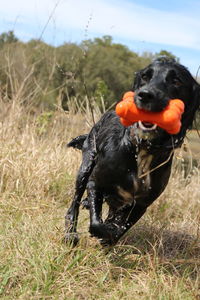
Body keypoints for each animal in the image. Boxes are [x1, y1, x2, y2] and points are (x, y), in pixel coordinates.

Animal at [65, 56, 199, 246]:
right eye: (145, 76)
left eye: (176, 81)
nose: (145, 95)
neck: (142, 150)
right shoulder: (95, 182)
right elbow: (98, 224)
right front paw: (101, 231)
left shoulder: (141, 204)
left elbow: (118, 229)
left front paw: (109, 237)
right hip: (86, 166)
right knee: (73, 205)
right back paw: (70, 233)